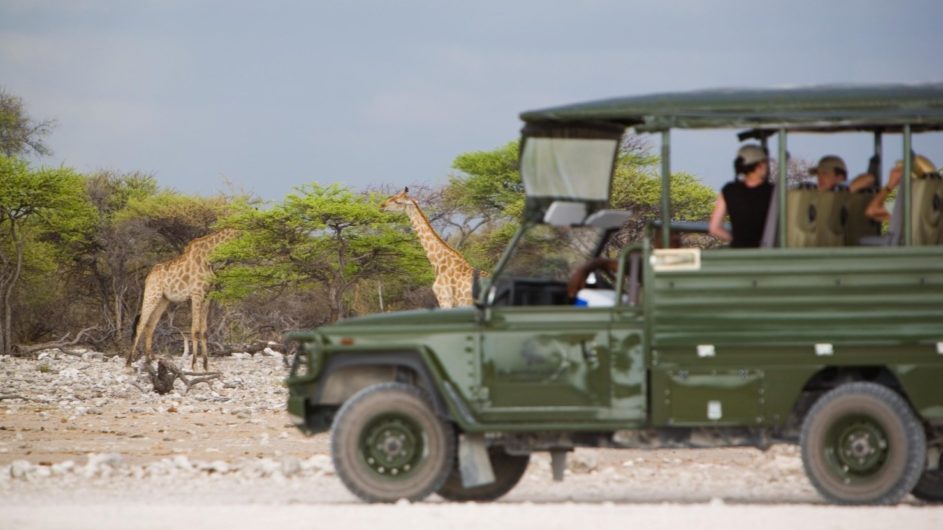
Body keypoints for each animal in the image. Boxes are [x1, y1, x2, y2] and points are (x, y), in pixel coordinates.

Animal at [127, 229, 238, 370]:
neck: (209, 256)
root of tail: (149, 276)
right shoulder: (196, 294)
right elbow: (195, 330)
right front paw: (194, 365)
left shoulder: (207, 295)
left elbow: (204, 331)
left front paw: (206, 366)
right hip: (152, 294)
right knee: (140, 324)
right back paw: (129, 364)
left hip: (163, 300)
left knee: (150, 325)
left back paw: (149, 361)